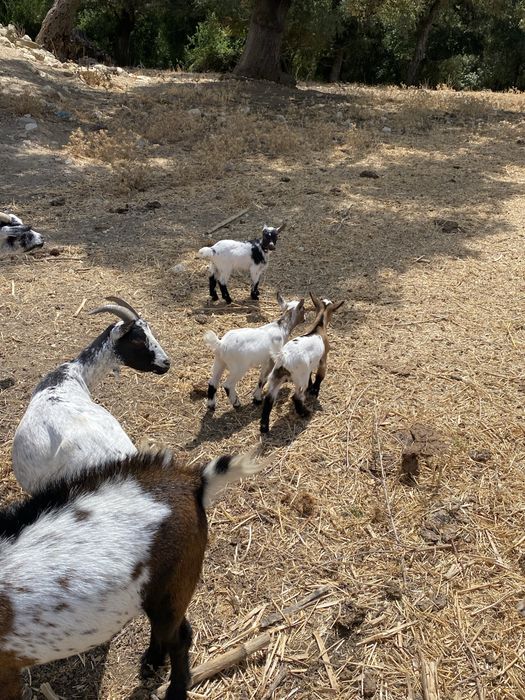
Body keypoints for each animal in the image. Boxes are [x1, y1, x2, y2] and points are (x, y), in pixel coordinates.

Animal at [0, 449, 260, 700]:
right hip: (161, 589)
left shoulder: (7, 670)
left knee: (179, 638)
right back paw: (152, 662)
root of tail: (193, 480)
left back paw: (175, 691)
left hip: (174, 584)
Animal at [260, 294, 344, 433]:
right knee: (296, 397)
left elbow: (311, 376)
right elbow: (320, 376)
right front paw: (314, 391)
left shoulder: (308, 368)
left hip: (276, 377)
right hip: (299, 379)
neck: (318, 327)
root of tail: (284, 358)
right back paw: (305, 413)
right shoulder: (323, 359)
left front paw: (312, 388)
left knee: (269, 399)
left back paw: (264, 427)